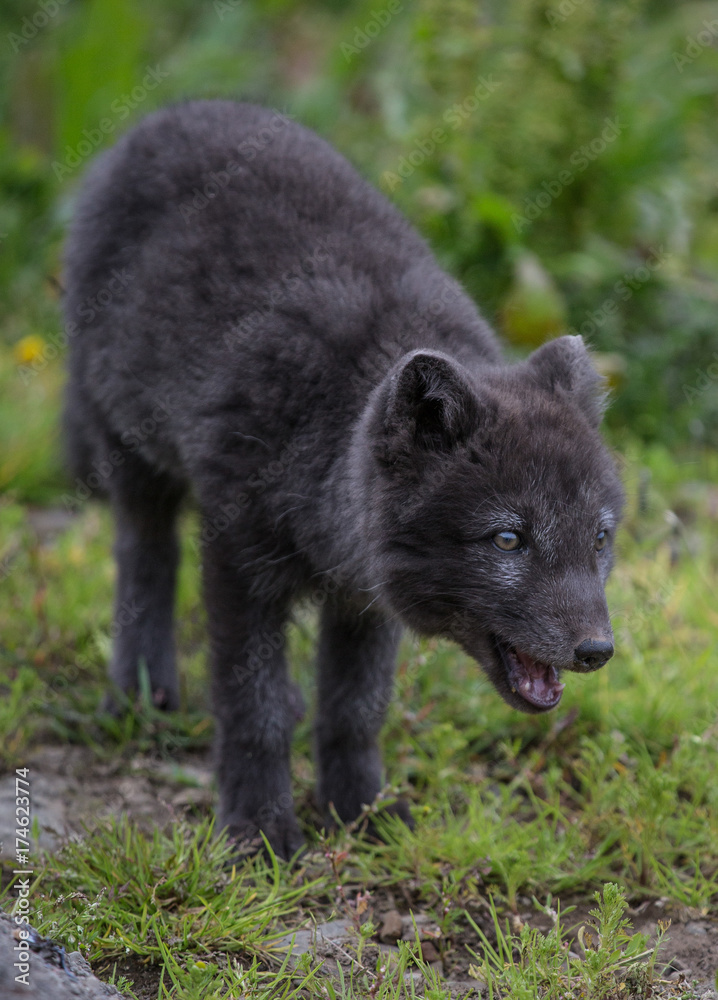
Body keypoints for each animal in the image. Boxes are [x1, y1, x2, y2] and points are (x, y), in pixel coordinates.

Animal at [63, 101, 624, 858]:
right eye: (509, 539)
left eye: (599, 538)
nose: (598, 651)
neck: (323, 440)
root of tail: (173, 112)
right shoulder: (236, 559)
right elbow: (257, 707)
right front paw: (258, 833)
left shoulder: (364, 596)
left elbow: (355, 709)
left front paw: (363, 813)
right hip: (128, 447)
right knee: (143, 556)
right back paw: (140, 694)